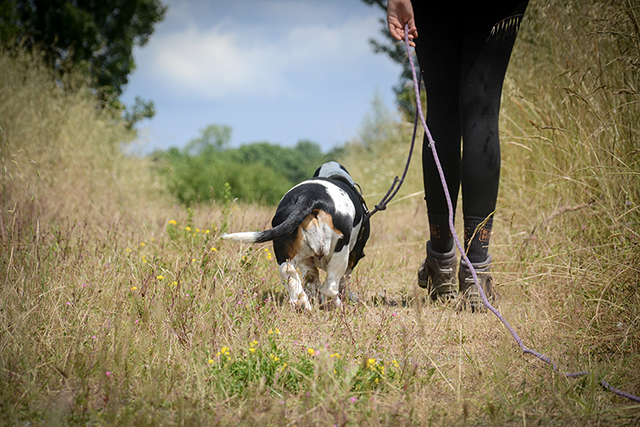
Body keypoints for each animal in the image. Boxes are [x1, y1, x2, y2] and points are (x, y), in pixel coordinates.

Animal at [222, 162, 370, 310]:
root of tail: (308, 197)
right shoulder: (353, 255)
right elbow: (342, 281)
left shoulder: (307, 262)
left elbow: (312, 279)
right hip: (341, 252)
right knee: (330, 287)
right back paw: (336, 305)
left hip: (286, 251)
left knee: (288, 271)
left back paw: (302, 304)